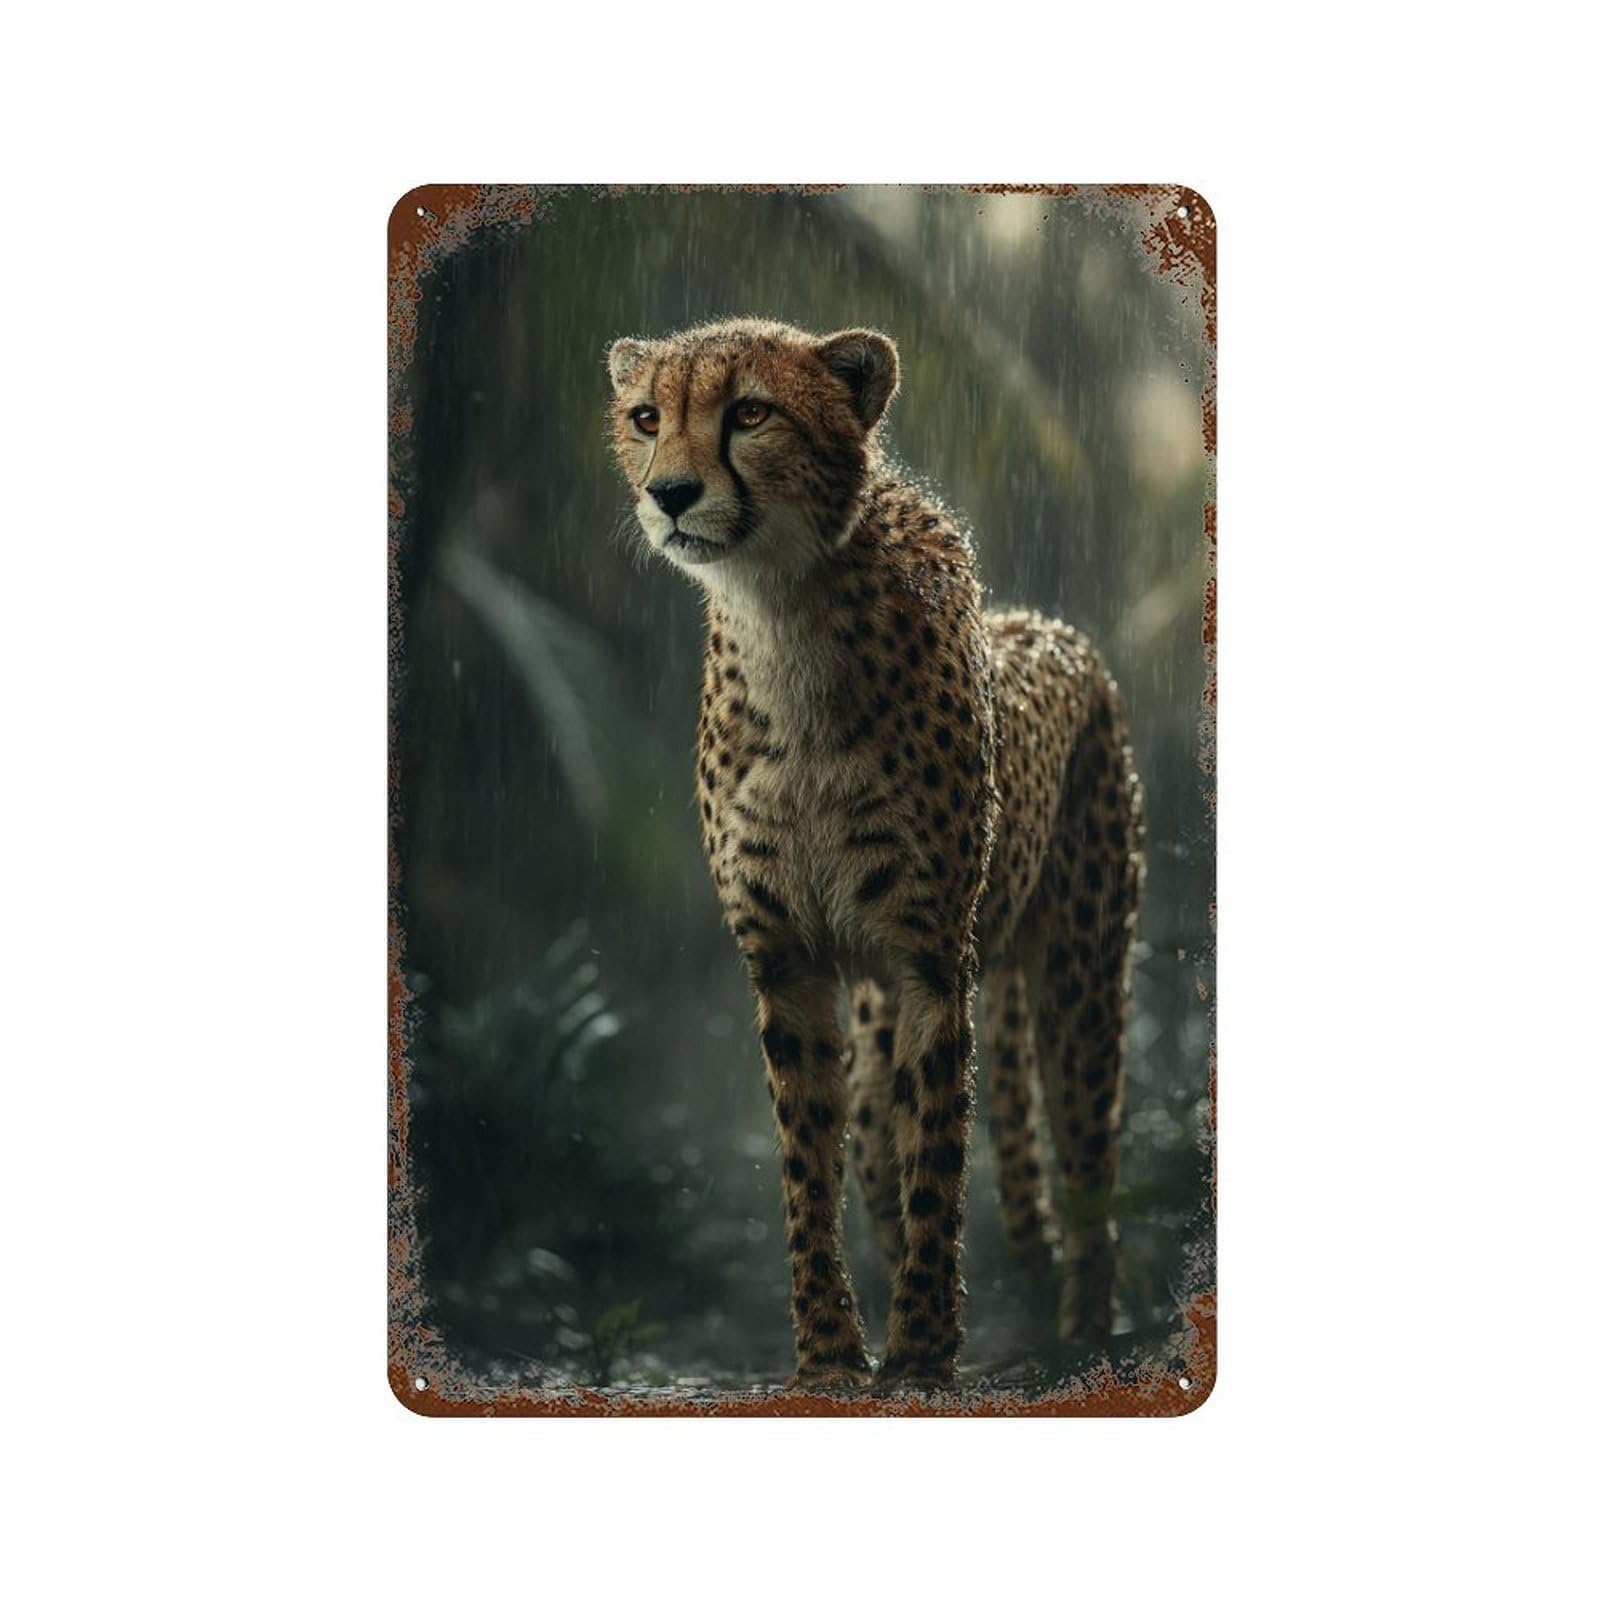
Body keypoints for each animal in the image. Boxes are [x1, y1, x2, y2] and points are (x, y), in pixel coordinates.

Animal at [606, 317, 1145, 1390]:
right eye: (647, 417)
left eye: (750, 412)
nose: (671, 492)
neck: (786, 612)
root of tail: (1057, 630)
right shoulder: (790, 963)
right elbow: (808, 1162)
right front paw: (829, 1354)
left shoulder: (933, 957)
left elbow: (938, 1153)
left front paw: (926, 1350)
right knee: (874, 1142)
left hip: (1080, 979)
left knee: (1087, 1164)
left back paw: (1082, 1335)